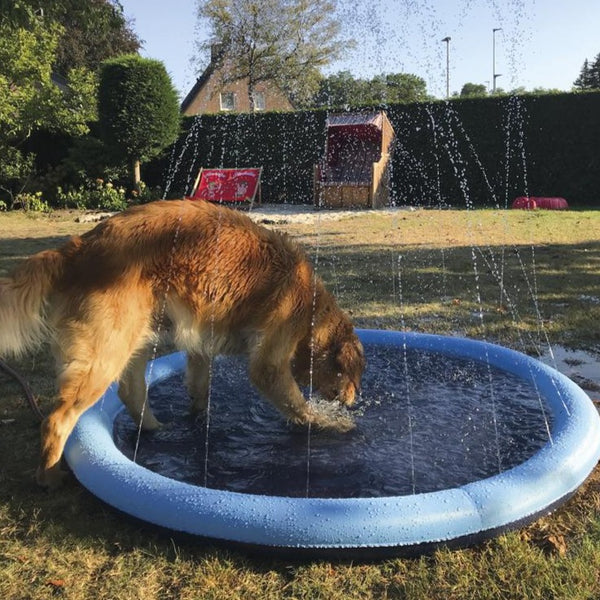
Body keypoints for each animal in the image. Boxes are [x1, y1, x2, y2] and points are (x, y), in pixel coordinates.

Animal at [0, 199, 366, 486]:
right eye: (353, 377)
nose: (353, 400)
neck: (311, 304)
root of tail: (78, 248)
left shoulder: (200, 346)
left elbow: (200, 388)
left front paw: (198, 420)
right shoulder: (270, 361)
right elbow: (298, 405)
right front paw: (333, 424)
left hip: (140, 335)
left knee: (130, 391)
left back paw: (156, 430)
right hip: (106, 352)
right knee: (57, 419)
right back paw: (49, 476)